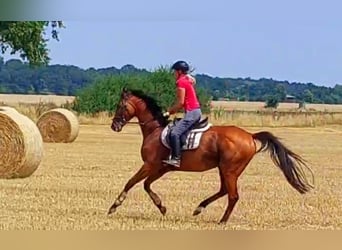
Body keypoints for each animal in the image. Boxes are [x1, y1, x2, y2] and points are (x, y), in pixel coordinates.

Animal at [108, 87, 314, 225]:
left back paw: (222, 220)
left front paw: (114, 205)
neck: (155, 130)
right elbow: (146, 185)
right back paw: (199, 208)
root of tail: (250, 136)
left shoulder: (150, 164)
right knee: (224, 190)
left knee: (233, 195)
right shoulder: (161, 168)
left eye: (120, 106)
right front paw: (162, 207)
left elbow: (132, 182)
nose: (114, 126)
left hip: (229, 170)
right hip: (225, 169)